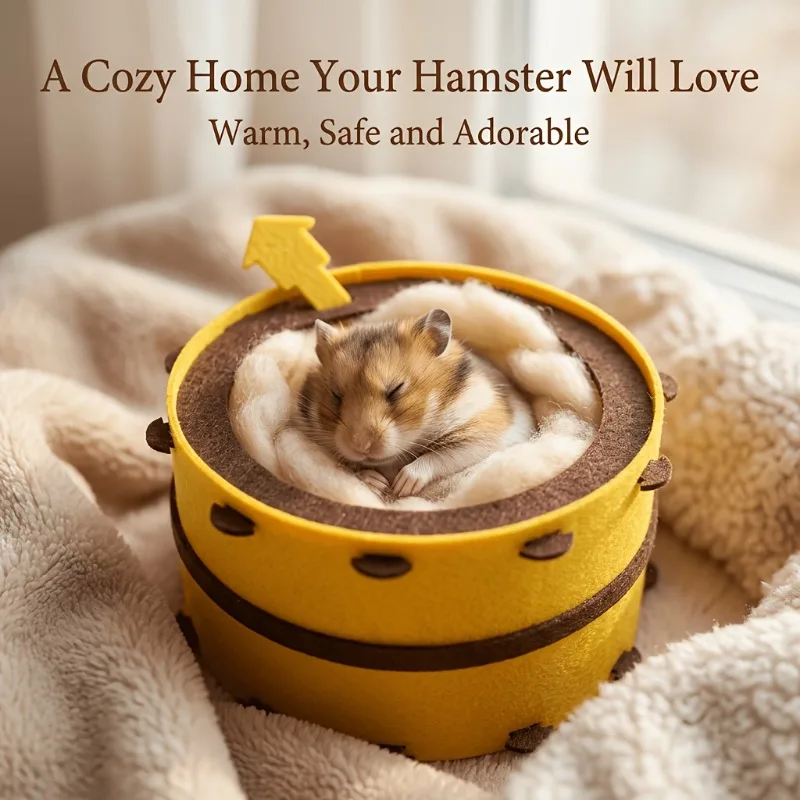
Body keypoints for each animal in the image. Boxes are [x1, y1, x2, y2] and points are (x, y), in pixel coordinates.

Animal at [296, 308, 533, 499]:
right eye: (336, 395)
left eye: (396, 389)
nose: (361, 447)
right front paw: (377, 482)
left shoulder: (483, 430)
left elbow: (442, 455)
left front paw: (402, 486)